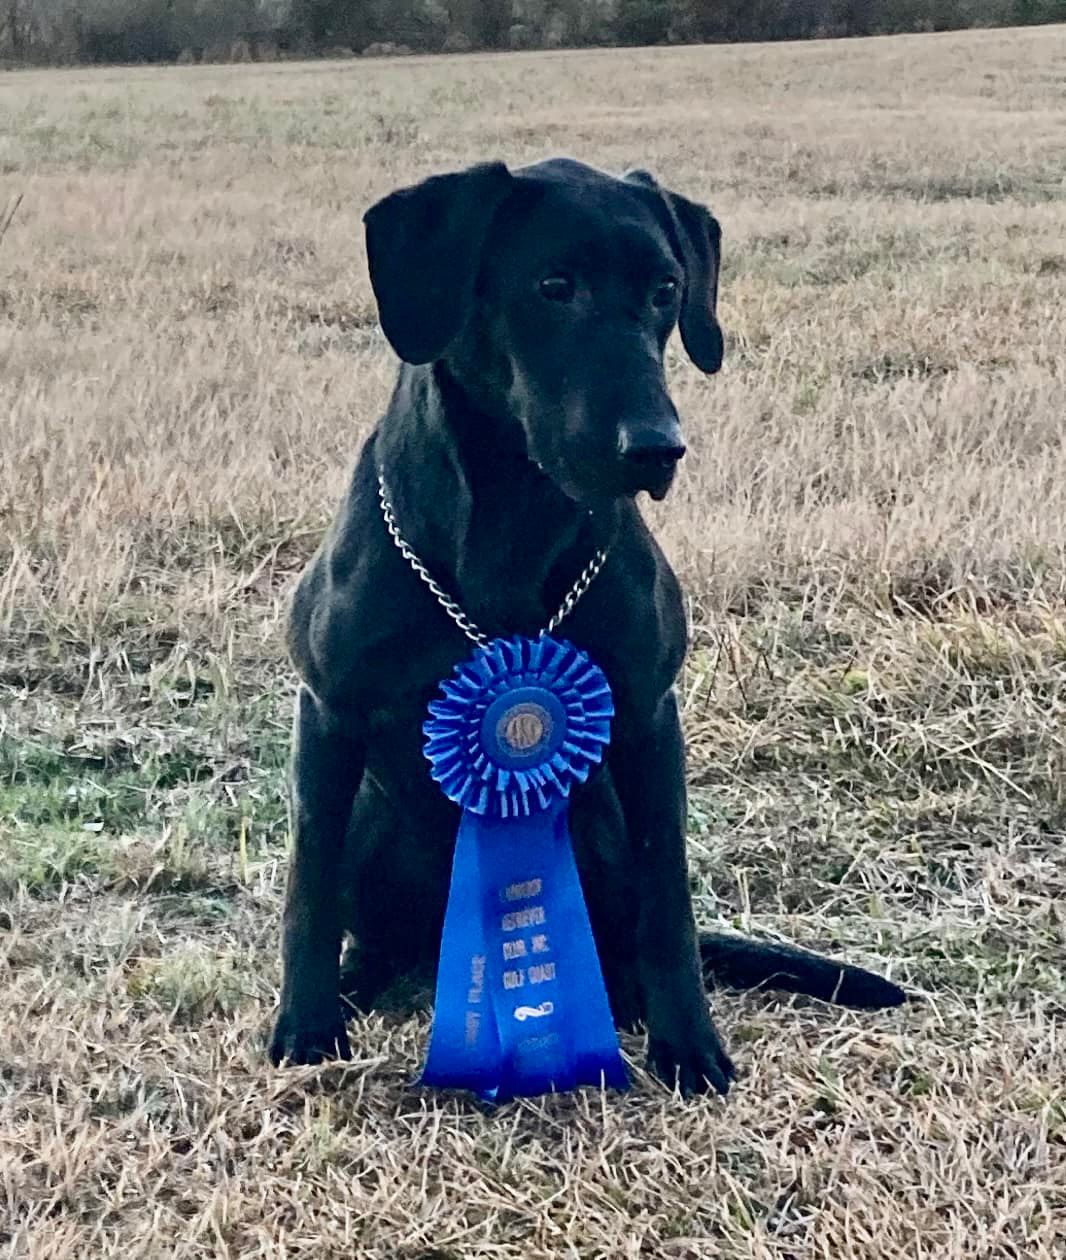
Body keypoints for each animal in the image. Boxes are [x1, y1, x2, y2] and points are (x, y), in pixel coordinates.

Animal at [267, 162, 902, 1098]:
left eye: (666, 290)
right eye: (553, 286)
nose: (657, 448)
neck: (513, 516)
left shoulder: (645, 719)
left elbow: (669, 899)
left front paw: (689, 1042)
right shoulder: (330, 714)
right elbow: (306, 890)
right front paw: (305, 1025)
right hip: (369, 827)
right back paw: (356, 983)